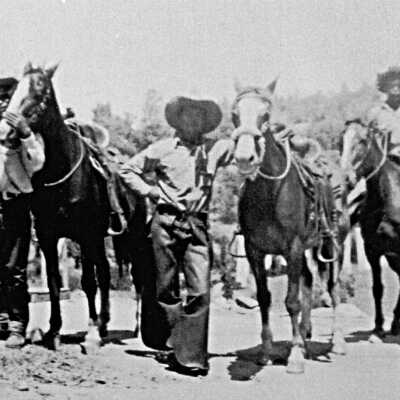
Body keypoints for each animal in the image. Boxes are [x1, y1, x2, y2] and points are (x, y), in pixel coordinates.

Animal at [0, 62, 146, 349]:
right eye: (16, 91)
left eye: (39, 93)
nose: (5, 131)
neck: (62, 170)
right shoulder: (49, 236)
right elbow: (54, 282)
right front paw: (53, 331)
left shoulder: (86, 235)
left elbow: (88, 282)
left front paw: (90, 335)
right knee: (105, 273)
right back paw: (104, 324)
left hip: (131, 240)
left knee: (133, 279)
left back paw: (131, 331)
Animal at [230, 81, 347, 373]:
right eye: (235, 114)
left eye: (266, 115)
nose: (245, 157)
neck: (270, 194)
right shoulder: (255, 250)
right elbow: (264, 298)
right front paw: (266, 352)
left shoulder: (291, 248)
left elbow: (292, 301)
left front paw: (294, 357)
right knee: (308, 281)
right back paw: (304, 336)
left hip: (333, 244)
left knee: (333, 288)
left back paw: (337, 342)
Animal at [340, 119, 400, 339]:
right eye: (342, 140)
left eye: (363, 141)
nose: (346, 177)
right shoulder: (373, 251)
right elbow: (377, 288)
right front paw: (379, 326)